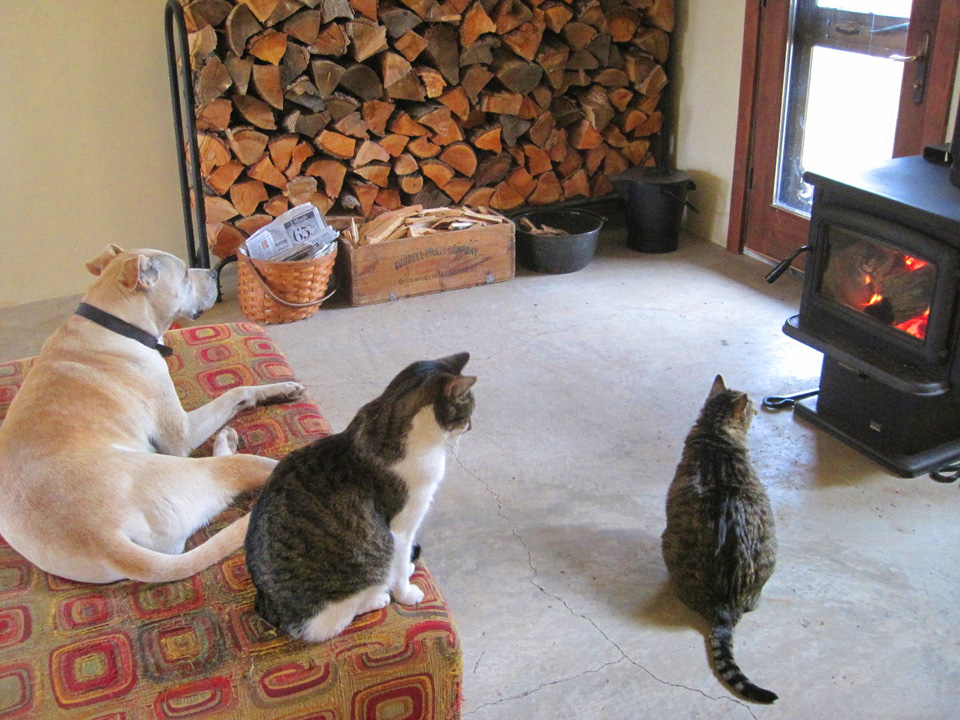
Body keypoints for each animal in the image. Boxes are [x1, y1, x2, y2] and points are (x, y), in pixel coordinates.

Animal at [0, 245, 305, 584]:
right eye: (184, 273)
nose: (214, 274)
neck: (115, 325)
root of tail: (106, 540)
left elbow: (240, 392)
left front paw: (282, 389)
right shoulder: (181, 434)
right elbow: (235, 390)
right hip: (208, 469)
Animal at [244, 352, 475, 643]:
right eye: (469, 410)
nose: (471, 426)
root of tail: (268, 609)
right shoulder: (402, 528)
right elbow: (400, 566)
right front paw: (406, 594)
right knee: (336, 620)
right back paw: (377, 598)